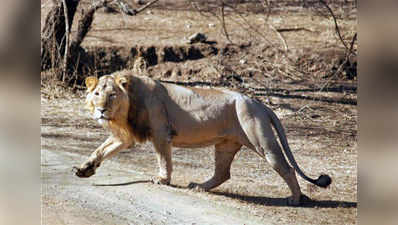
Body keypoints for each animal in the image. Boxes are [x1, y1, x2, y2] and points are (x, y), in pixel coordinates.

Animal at [73, 70, 332, 206]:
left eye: (112, 95)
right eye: (97, 94)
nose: (101, 110)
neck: (125, 110)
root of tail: (259, 103)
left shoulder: (161, 133)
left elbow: (163, 159)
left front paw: (162, 180)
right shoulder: (126, 136)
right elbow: (100, 150)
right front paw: (85, 169)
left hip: (262, 141)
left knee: (287, 168)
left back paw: (295, 199)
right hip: (226, 145)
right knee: (223, 173)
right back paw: (198, 186)